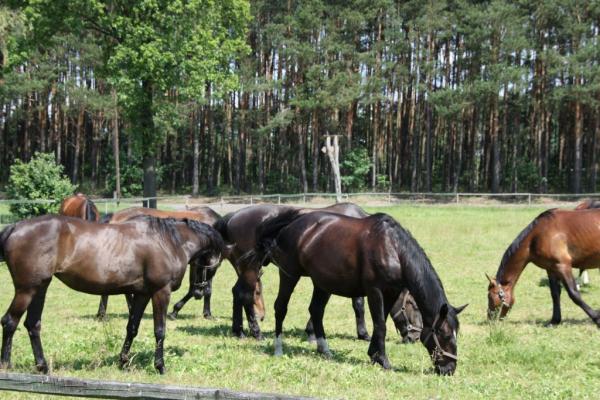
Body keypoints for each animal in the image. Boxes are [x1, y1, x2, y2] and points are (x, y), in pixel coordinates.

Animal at [0, 214, 225, 374]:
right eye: (212, 266)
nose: (199, 292)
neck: (168, 241)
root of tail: (15, 227)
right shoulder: (161, 292)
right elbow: (159, 331)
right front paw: (160, 366)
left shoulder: (142, 294)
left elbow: (132, 328)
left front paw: (123, 362)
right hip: (26, 290)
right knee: (10, 321)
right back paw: (6, 365)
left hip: (40, 288)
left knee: (32, 325)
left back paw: (42, 366)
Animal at [216, 203, 372, 340]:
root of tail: (232, 217)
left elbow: (358, 305)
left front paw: (363, 333)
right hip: (251, 267)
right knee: (246, 295)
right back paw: (256, 333)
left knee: (237, 292)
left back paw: (239, 331)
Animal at [243, 209, 464, 376]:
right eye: (444, 334)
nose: (449, 369)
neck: (393, 249)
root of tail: (291, 224)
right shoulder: (375, 291)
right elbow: (380, 325)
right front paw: (383, 360)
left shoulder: (391, 293)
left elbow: (381, 322)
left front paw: (374, 355)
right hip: (289, 275)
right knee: (281, 307)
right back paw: (278, 348)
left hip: (322, 283)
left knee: (316, 311)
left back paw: (325, 350)